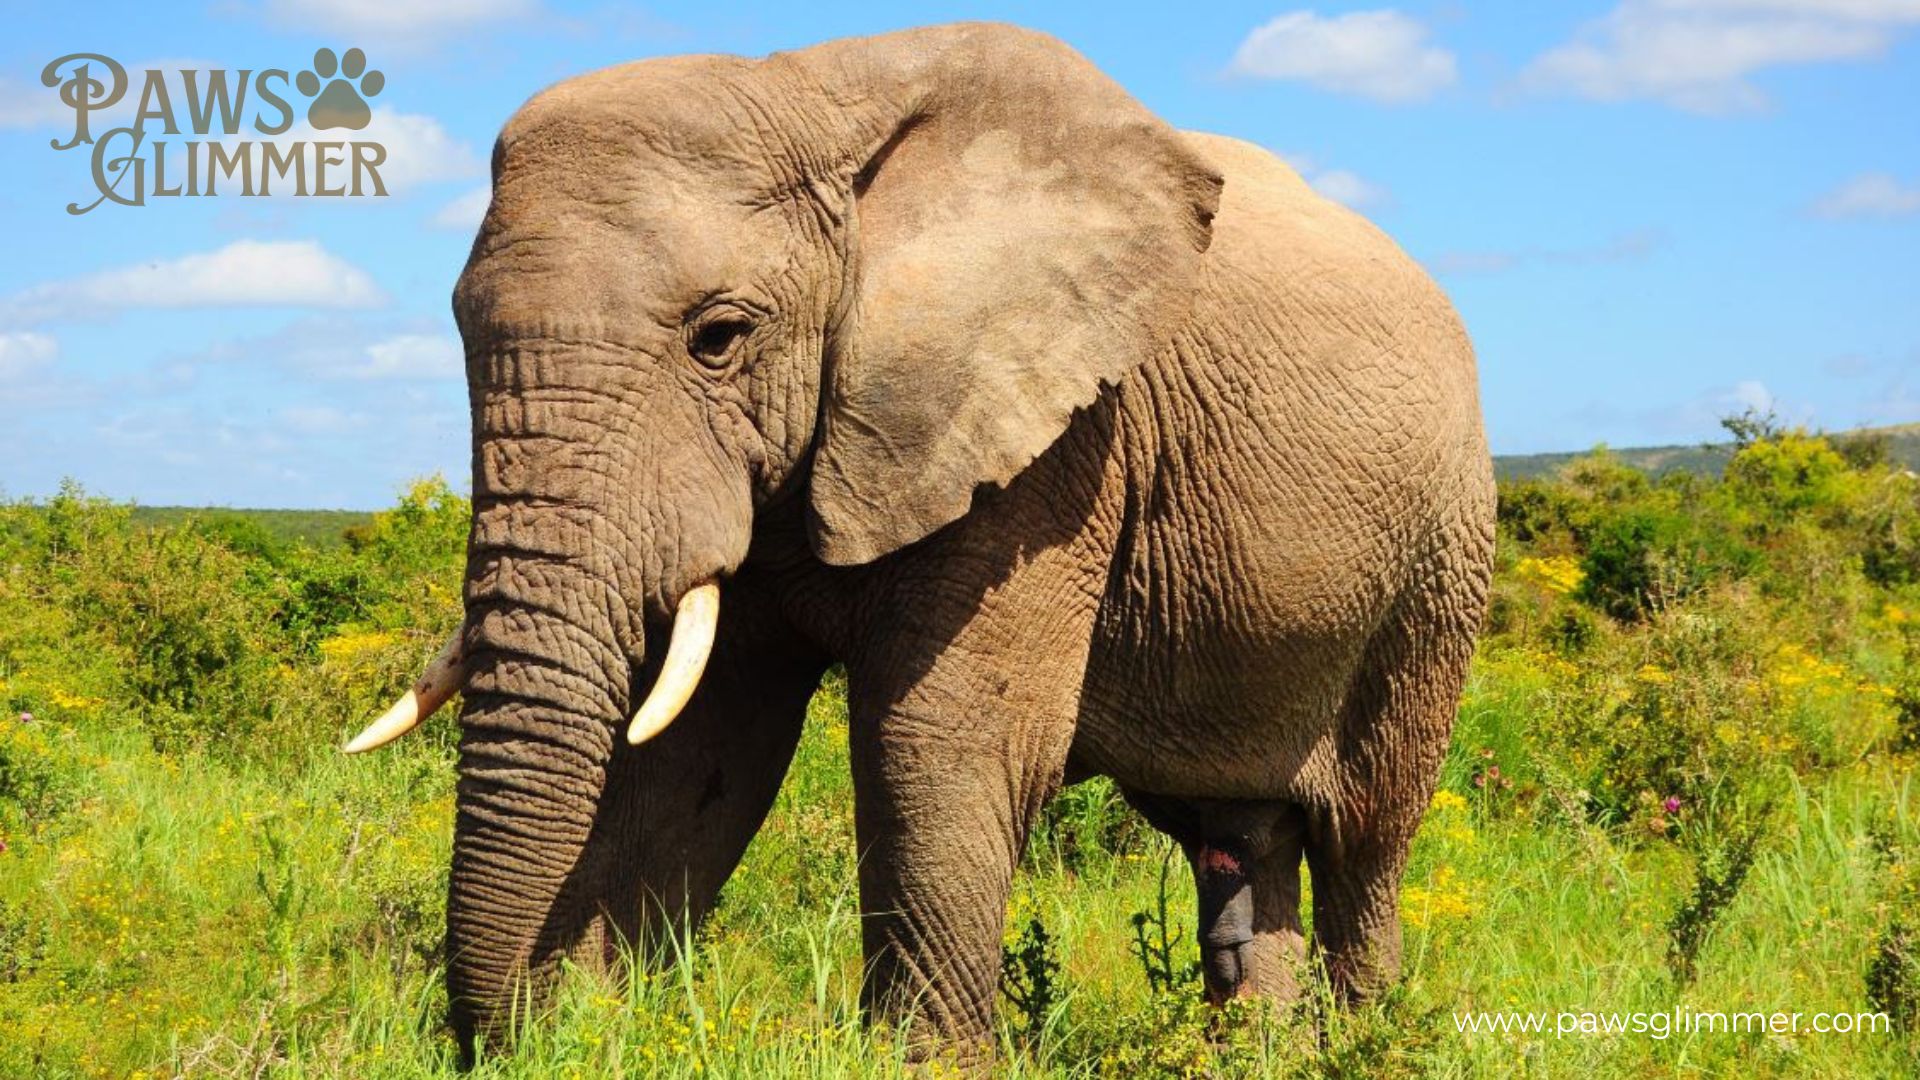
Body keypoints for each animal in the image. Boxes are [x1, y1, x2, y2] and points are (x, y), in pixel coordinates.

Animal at [345, 18, 1497, 1060]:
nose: (499, 1030)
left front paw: (922, 1063)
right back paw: (1259, 1051)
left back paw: (1367, 1040)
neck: (811, 102)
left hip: (1441, 556)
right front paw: (589, 1034)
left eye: (719, 338)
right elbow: (701, 749)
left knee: (1366, 832)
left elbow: (942, 738)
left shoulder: (1060, 441)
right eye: (458, 331)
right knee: (1240, 835)